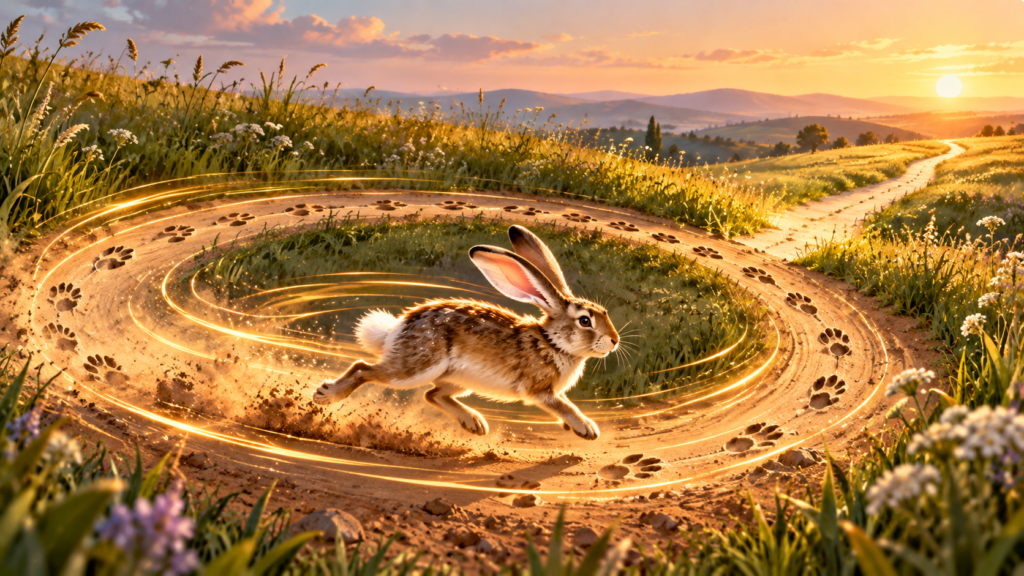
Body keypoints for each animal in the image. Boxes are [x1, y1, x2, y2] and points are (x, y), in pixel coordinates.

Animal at [311, 225, 620, 440]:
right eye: (585, 321)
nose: (614, 341)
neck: (553, 343)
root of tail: (397, 329)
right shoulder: (539, 389)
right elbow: (564, 406)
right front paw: (586, 428)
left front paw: (572, 428)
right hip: (417, 367)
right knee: (364, 368)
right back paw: (326, 395)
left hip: (461, 380)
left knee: (432, 395)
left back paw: (474, 423)